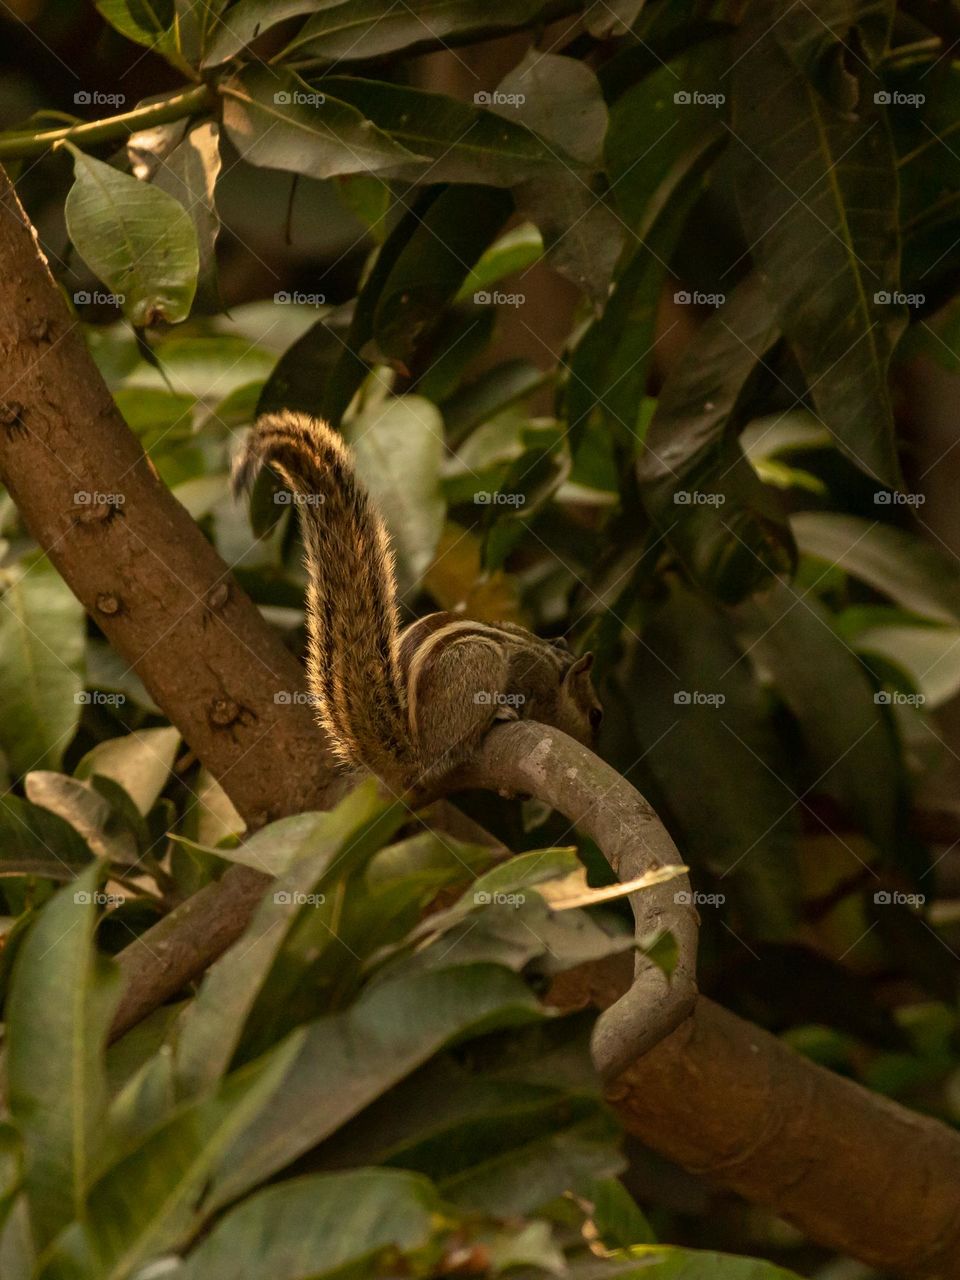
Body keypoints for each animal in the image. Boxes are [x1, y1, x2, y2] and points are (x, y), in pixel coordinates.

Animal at [233, 410, 603, 793]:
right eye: (596, 716)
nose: (593, 749)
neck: (556, 673)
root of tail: (413, 749)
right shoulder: (532, 676)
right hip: (476, 662)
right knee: (453, 747)